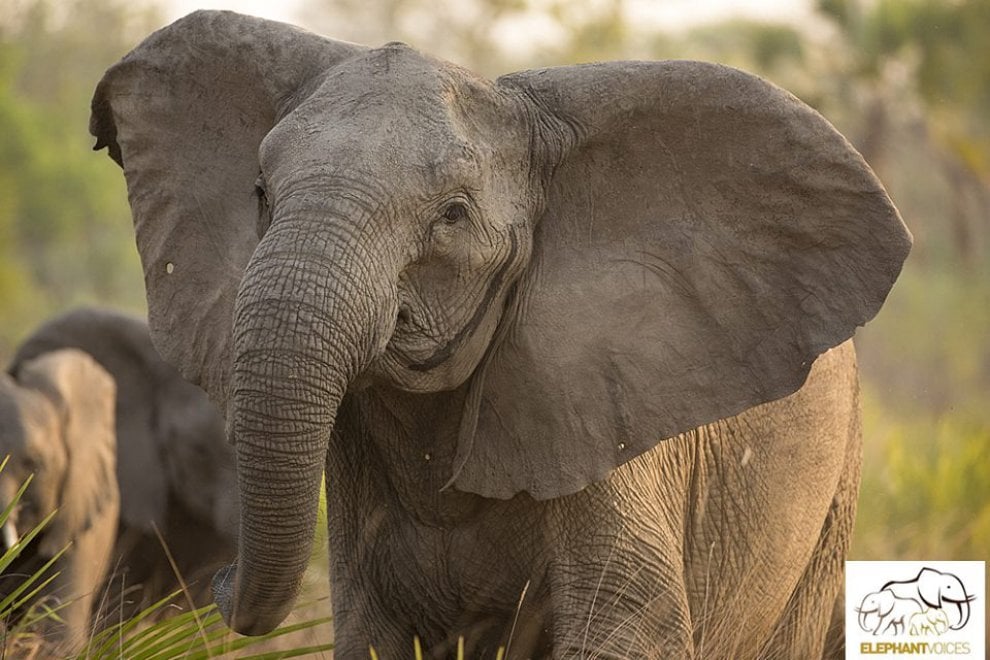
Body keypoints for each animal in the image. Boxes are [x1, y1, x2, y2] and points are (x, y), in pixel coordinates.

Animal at [90, 10, 911, 658]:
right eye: (260, 195)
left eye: (452, 215)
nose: (220, 580)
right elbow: (373, 634)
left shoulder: (598, 406)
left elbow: (626, 631)